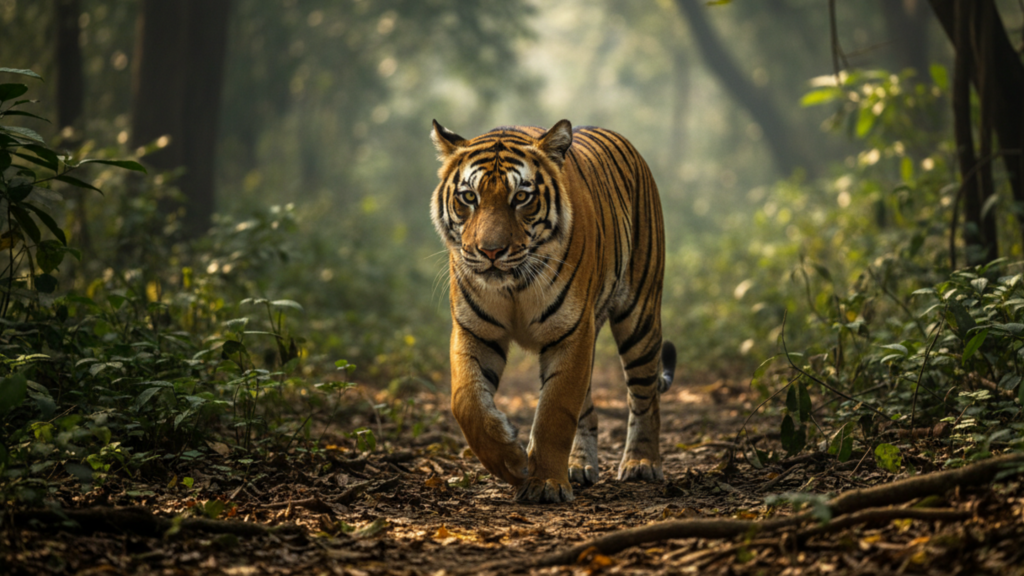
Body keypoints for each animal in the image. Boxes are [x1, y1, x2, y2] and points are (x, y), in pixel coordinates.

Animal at [430, 119, 676, 503]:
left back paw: (642, 463)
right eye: (469, 197)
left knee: (644, 395)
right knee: (589, 409)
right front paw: (511, 460)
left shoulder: (571, 332)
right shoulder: (475, 330)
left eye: (521, 197)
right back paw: (579, 466)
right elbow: (466, 401)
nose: (491, 251)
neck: (513, 285)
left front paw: (545, 482)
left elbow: (555, 412)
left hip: (640, 316)